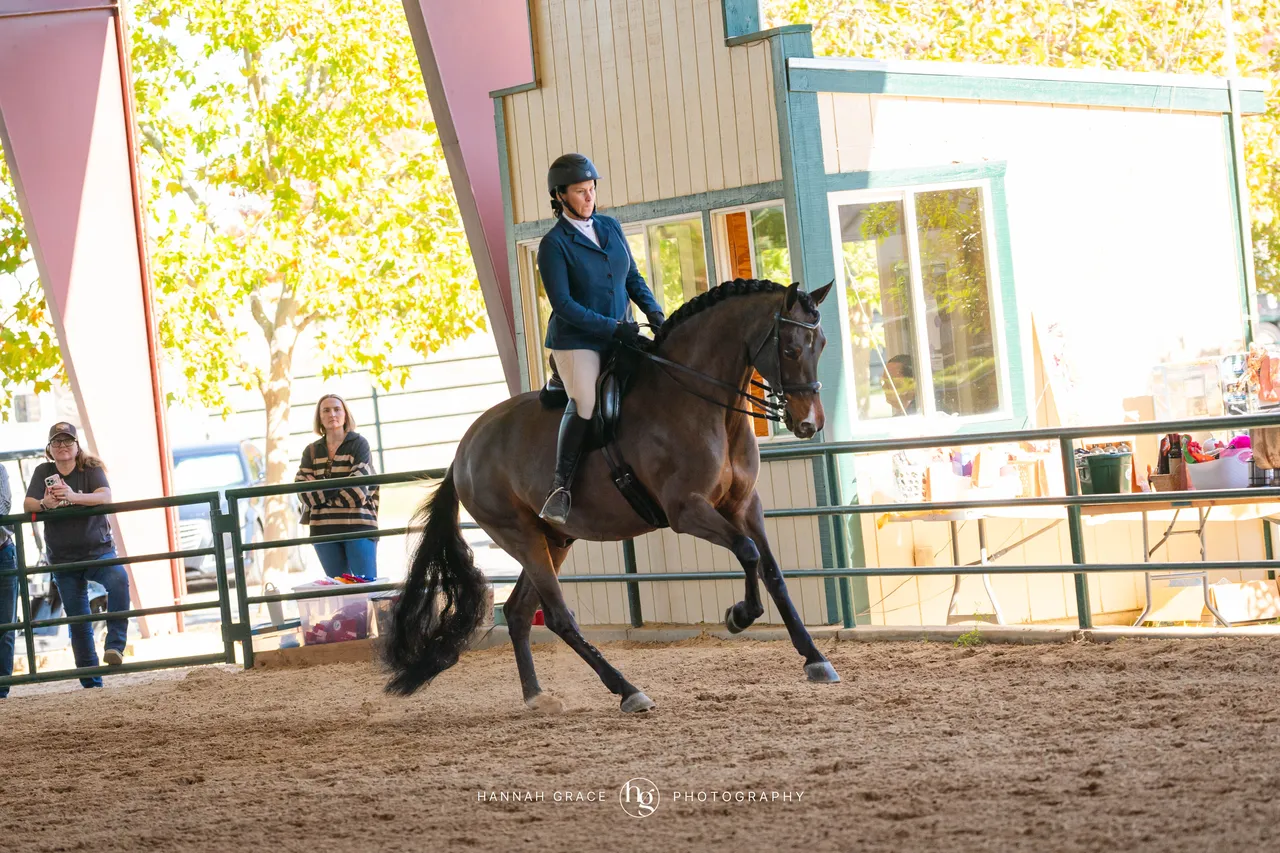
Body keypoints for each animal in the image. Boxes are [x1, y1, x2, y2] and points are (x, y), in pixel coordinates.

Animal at [384, 278, 839, 713]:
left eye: (821, 345)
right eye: (791, 348)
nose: (809, 424)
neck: (703, 404)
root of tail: (464, 448)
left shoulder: (745, 505)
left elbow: (771, 571)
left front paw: (815, 658)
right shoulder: (687, 510)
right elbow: (747, 551)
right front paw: (739, 616)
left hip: (553, 539)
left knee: (517, 612)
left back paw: (536, 696)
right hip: (520, 536)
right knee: (558, 617)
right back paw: (627, 691)